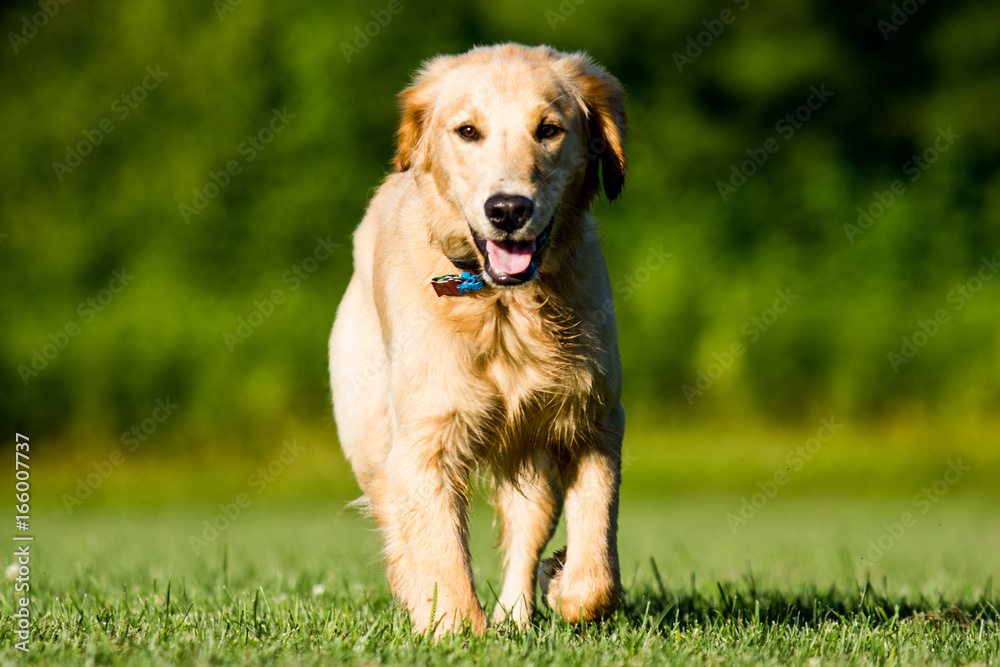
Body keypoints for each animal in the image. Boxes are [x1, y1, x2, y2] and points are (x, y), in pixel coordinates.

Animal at [328, 43, 624, 636]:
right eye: (468, 131)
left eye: (549, 129)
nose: (507, 209)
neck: (506, 307)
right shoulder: (425, 440)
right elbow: (441, 553)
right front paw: (455, 628)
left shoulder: (594, 418)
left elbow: (596, 559)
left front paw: (564, 582)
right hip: (372, 440)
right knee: (397, 522)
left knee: (528, 530)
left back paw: (518, 615)